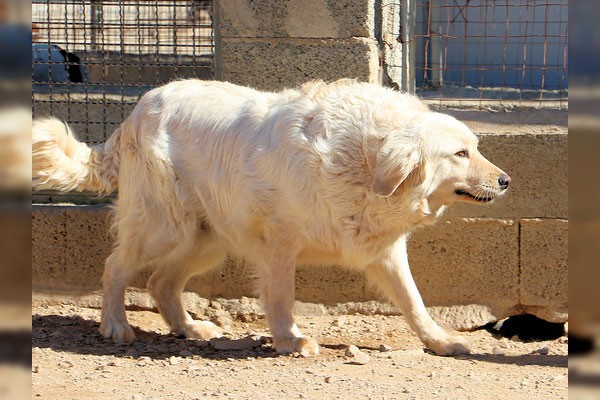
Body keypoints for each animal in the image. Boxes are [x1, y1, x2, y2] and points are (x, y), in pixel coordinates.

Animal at [34, 79, 510, 356]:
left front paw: (439, 340)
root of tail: (136, 111)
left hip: (207, 240)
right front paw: (289, 339)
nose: (506, 181)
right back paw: (115, 325)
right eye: (460, 153)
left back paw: (189, 327)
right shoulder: (279, 243)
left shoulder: (385, 252)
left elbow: (414, 302)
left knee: (160, 281)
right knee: (116, 266)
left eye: (475, 147)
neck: (364, 160)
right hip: (164, 229)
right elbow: (281, 296)